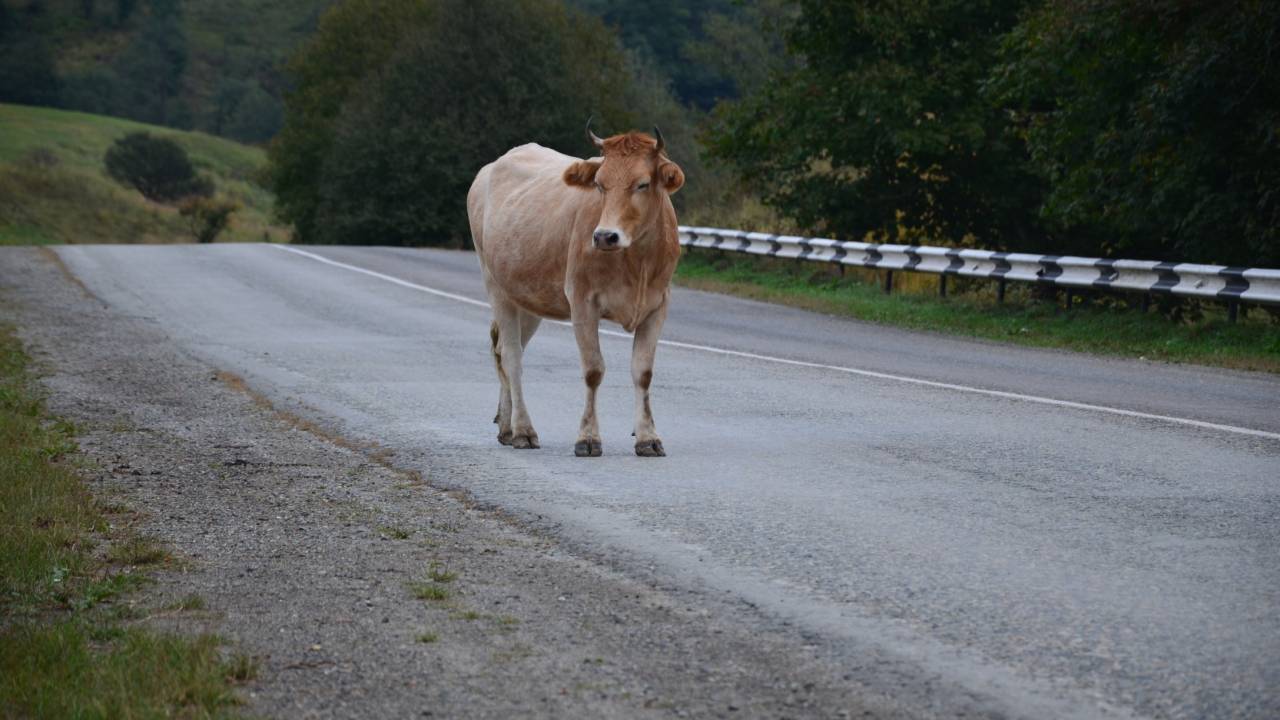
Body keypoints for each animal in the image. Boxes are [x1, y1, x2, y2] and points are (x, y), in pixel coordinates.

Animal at [468, 124, 686, 453]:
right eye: (599, 184)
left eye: (643, 184)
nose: (605, 236)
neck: (637, 262)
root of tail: (491, 167)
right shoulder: (583, 302)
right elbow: (593, 370)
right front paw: (588, 438)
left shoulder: (658, 305)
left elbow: (643, 373)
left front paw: (647, 437)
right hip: (495, 284)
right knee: (511, 356)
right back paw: (523, 430)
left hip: (529, 297)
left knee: (506, 350)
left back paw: (506, 426)